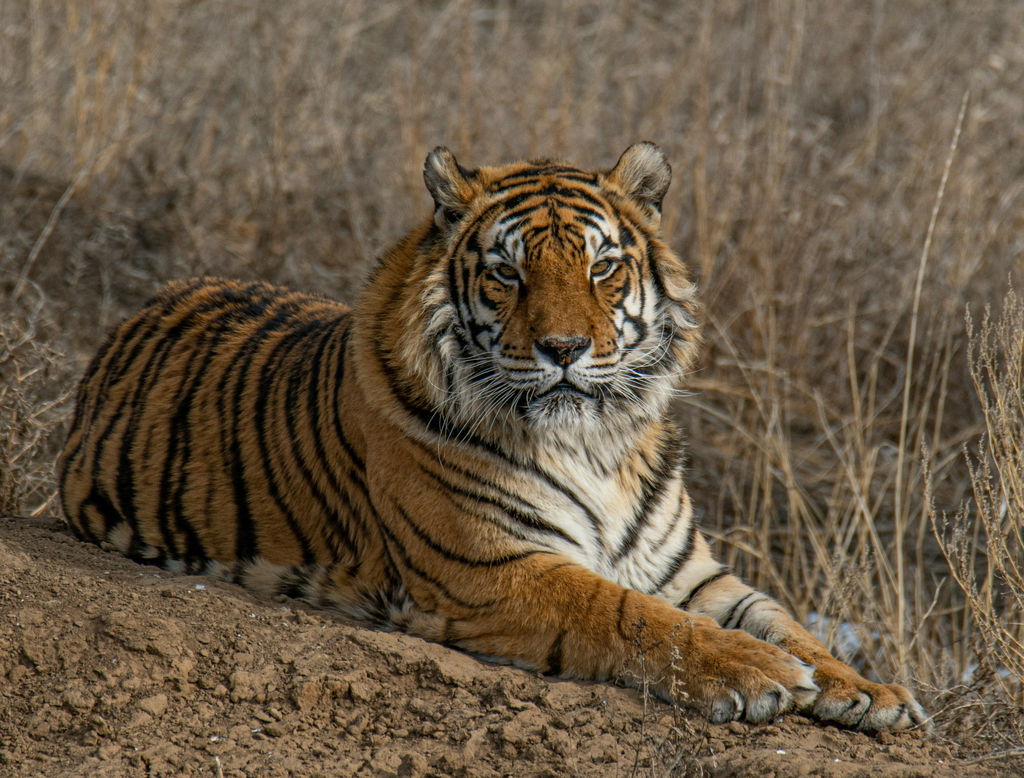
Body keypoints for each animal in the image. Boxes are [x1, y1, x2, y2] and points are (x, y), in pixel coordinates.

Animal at [59, 143, 927, 731]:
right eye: (508, 273)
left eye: (602, 267)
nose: (564, 348)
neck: (596, 444)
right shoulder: (494, 568)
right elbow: (633, 616)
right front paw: (758, 672)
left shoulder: (691, 572)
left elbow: (784, 618)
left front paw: (868, 689)